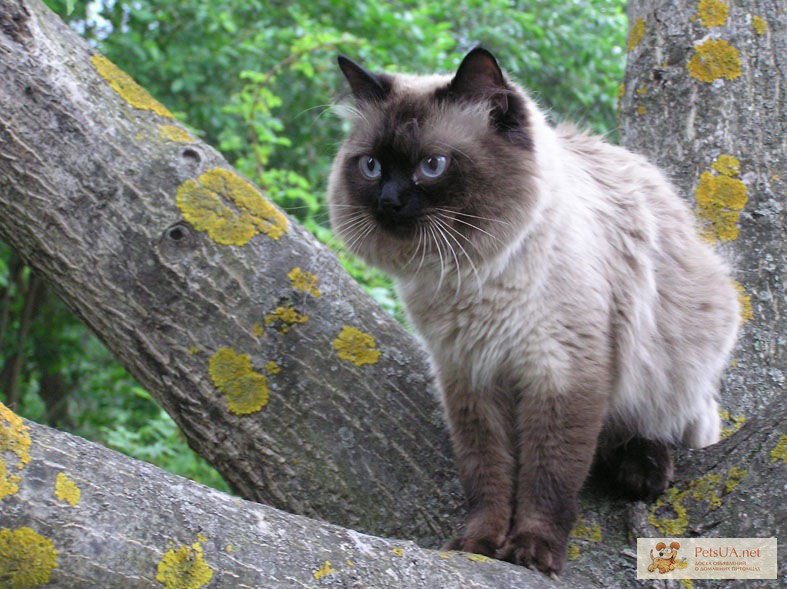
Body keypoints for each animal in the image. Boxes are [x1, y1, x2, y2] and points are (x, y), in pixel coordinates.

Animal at [324, 47, 740, 576]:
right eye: (373, 166)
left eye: (432, 165)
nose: (389, 201)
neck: (468, 275)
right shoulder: (469, 379)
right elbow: (488, 476)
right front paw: (479, 544)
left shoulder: (562, 373)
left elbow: (549, 478)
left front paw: (532, 552)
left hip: (678, 360)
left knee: (668, 420)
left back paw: (643, 470)